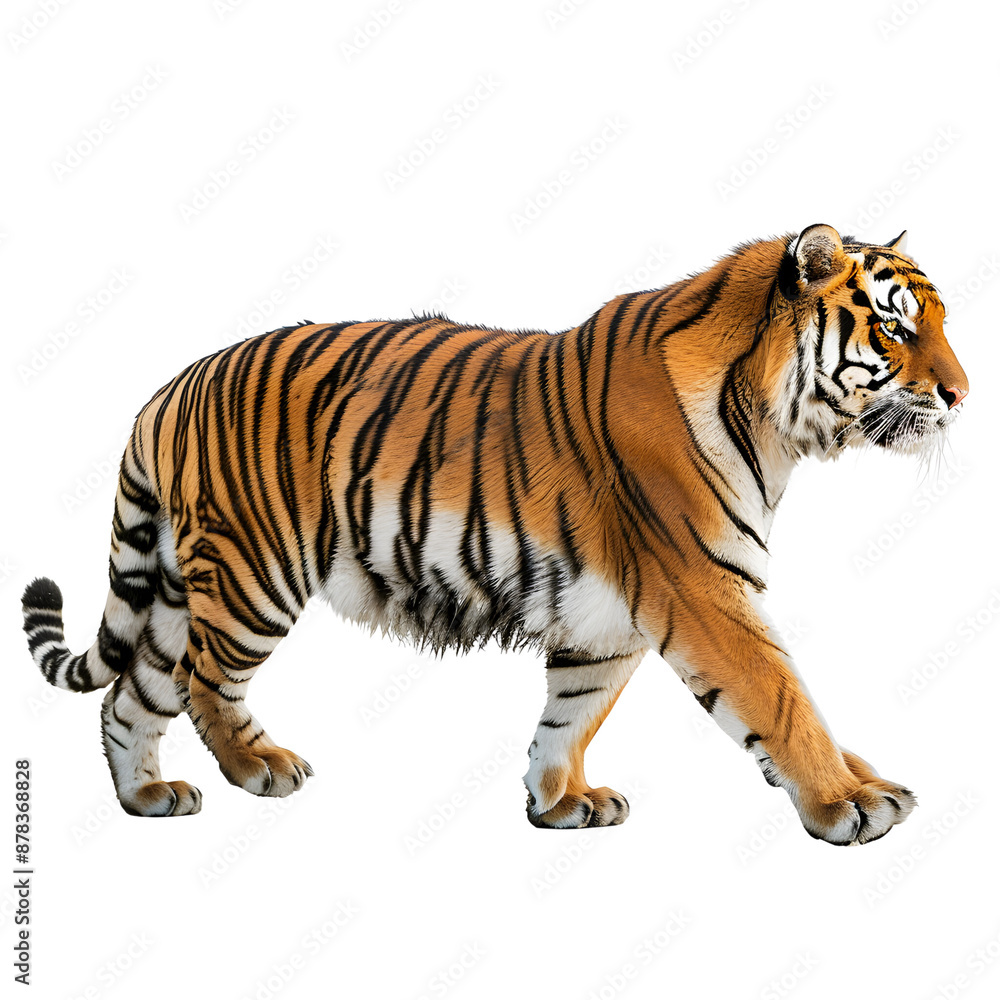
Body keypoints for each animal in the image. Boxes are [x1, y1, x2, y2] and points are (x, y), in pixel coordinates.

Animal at [22, 223, 967, 845]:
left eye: (940, 321)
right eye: (894, 326)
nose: (962, 393)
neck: (774, 425)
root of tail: (169, 387)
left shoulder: (609, 618)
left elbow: (572, 714)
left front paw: (560, 803)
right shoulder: (704, 589)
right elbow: (783, 698)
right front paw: (849, 803)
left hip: (178, 586)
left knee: (130, 695)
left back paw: (149, 799)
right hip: (252, 574)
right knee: (202, 681)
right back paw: (261, 767)